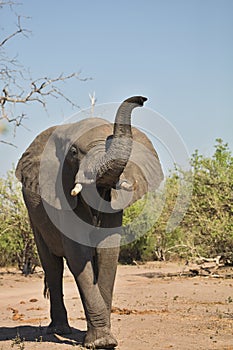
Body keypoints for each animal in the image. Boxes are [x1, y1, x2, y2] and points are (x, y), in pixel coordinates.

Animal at [15, 94, 163, 348]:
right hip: (33, 215)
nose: (142, 99)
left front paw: (103, 339)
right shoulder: (60, 191)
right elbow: (77, 252)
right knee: (52, 265)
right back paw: (59, 329)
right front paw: (101, 342)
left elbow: (107, 253)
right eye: (74, 152)